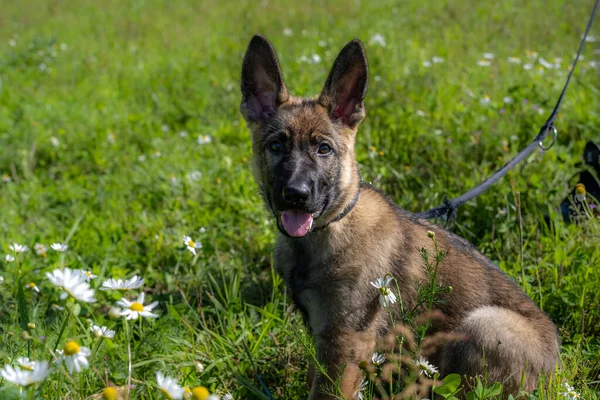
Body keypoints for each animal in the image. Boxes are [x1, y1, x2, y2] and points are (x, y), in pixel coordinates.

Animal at [239, 35, 556, 400]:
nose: (296, 194)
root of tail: (556, 372)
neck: (330, 228)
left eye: (324, 149)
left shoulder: (347, 342)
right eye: (276, 146)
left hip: (485, 324)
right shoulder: (329, 341)